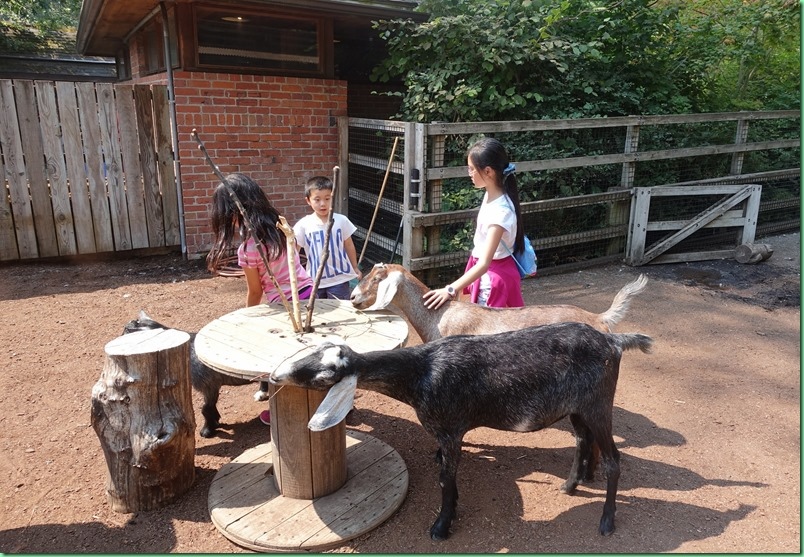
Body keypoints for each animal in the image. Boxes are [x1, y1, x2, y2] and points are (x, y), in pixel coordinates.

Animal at [270, 320, 652, 540]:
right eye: (314, 350)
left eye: (324, 376)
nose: (275, 376)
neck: (420, 373)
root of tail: (614, 341)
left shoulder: (452, 430)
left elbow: (445, 479)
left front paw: (442, 526)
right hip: (576, 407)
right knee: (582, 440)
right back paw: (571, 486)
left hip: (598, 404)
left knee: (614, 460)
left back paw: (606, 521)